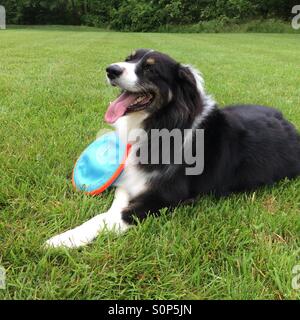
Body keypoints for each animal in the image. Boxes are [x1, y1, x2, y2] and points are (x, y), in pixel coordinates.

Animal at [45, 48, 300, 248]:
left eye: (150, 69)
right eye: (128, 59)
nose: (111, 70)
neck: (163, 122)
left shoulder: (165, 197)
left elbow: (110, 217)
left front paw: (63, 240)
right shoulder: (131, 180)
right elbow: (115, 203)